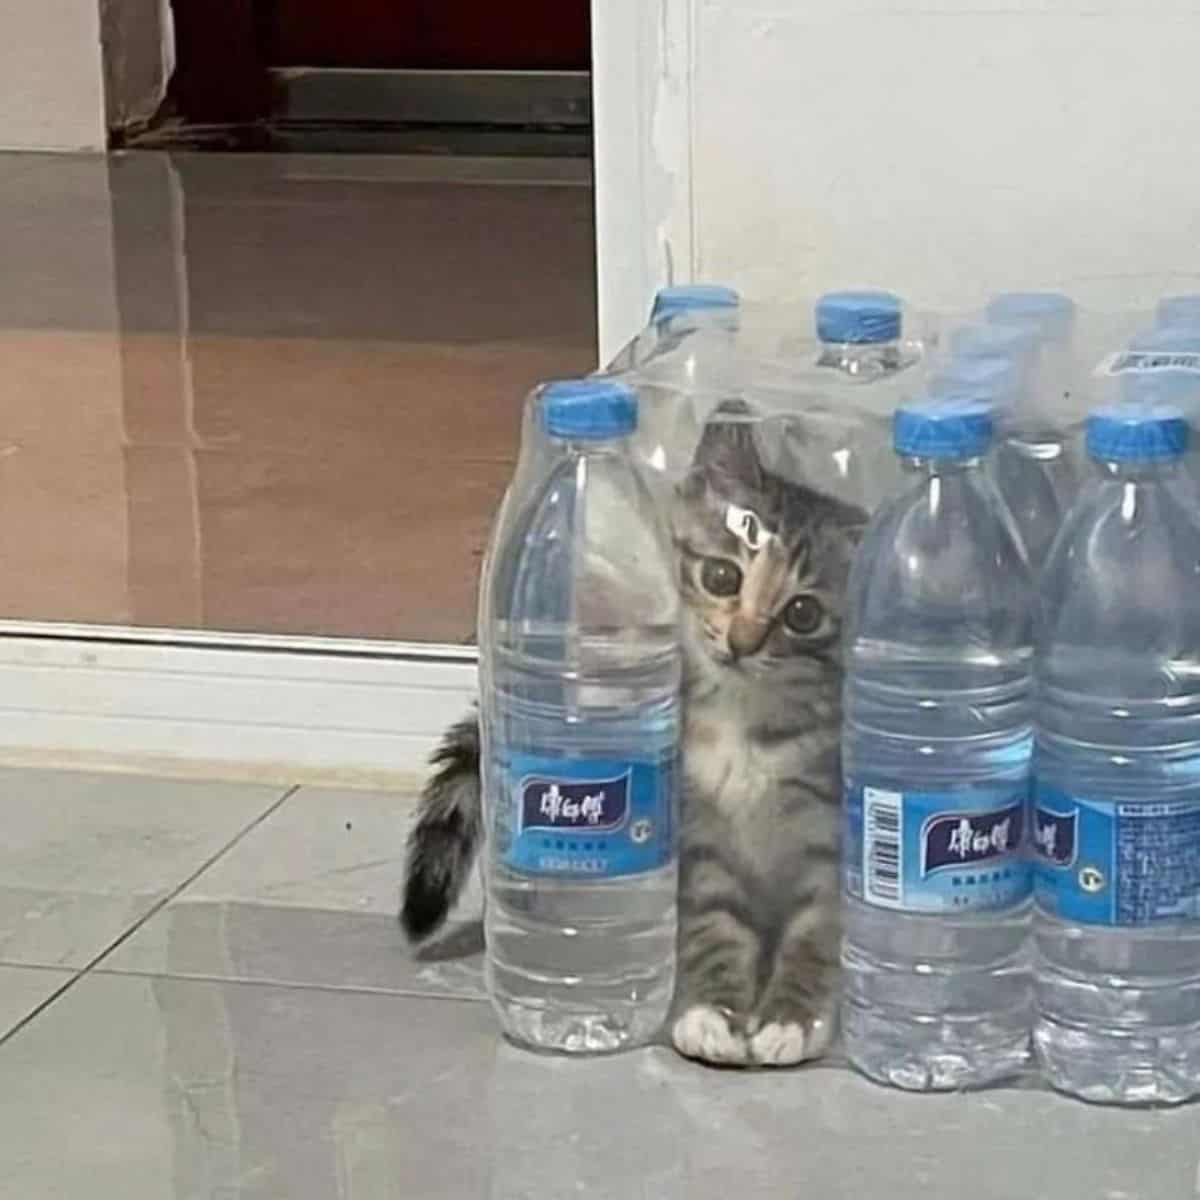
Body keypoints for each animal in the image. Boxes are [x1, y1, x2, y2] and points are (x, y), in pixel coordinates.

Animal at [403, 408, 864, 1065]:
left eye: (803, 614)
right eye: (721, 575)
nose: (742, 642)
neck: (743, 720)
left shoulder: (827, 837)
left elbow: (817, 931)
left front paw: (790, 1019)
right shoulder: (699, 837)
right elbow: (712, 924)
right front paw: (711, 1013)